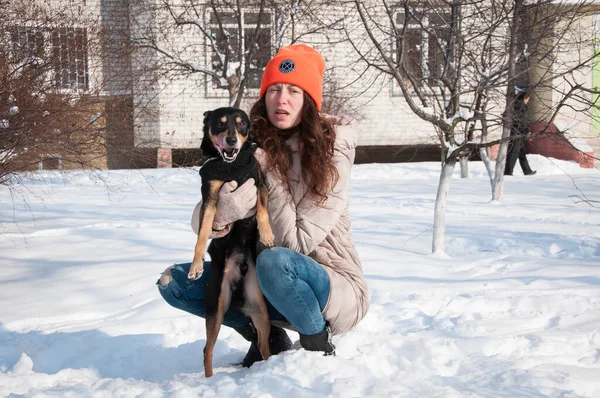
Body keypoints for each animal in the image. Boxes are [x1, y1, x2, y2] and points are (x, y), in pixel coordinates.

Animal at [189, 107, 276, 378]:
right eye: (220, 123)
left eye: (242, 125)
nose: (231, 140)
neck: (231, 167)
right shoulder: (211, 197)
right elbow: (203, 233)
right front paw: (195, 266)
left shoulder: (259, 184)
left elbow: (261, 210)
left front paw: (267, 235)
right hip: (216, 305)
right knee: (207, 350)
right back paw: (209, 380)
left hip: (260, 310)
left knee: (263, 343)